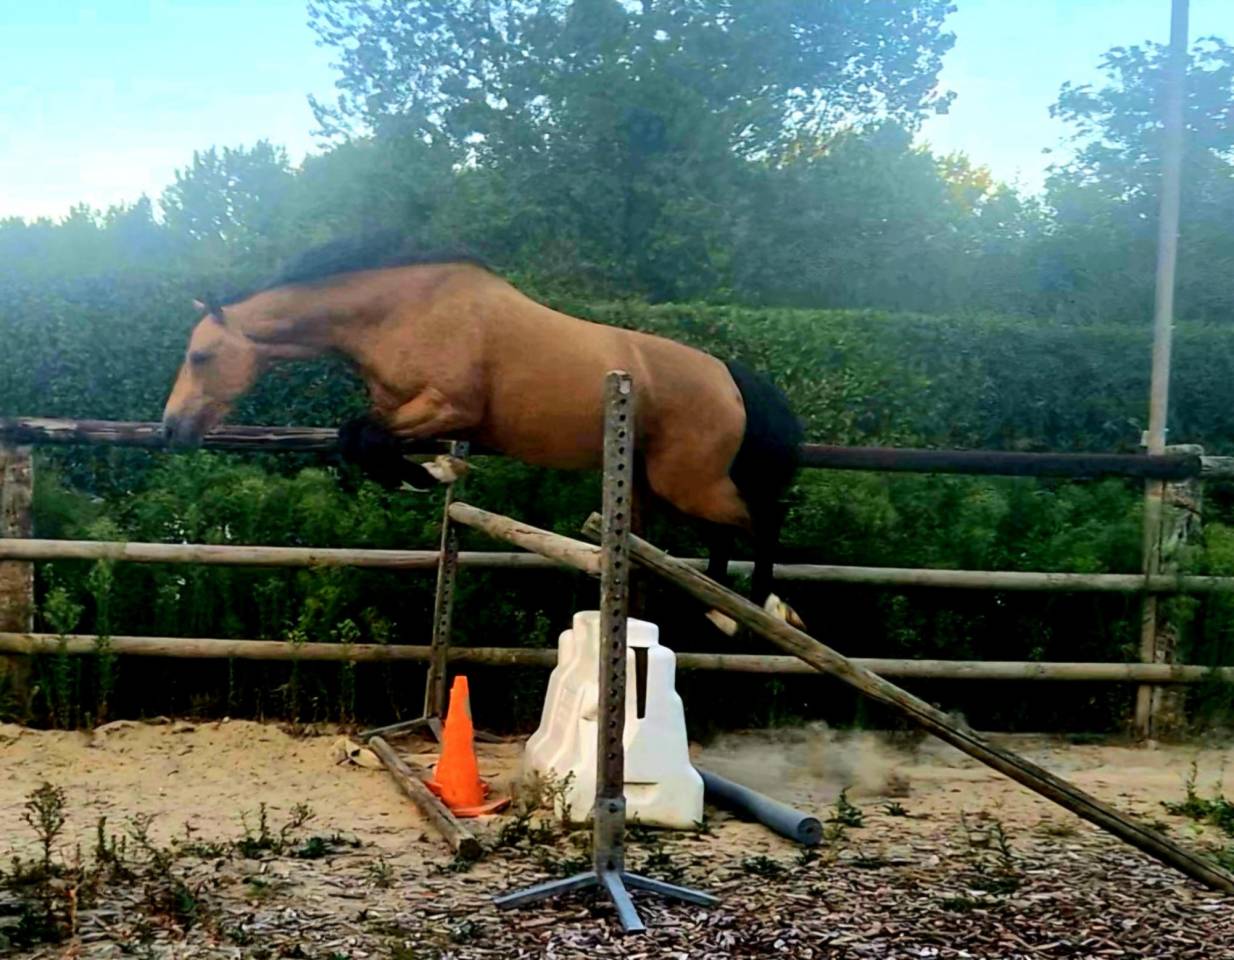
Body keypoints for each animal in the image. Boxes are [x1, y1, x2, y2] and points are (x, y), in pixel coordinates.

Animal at [160, 237, 805, 629]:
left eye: (199, 356)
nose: (172, 430)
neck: (399, 313)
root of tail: (729, 375)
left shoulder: (446, 406)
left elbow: (365, 438)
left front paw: (436, 472)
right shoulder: (413, 414)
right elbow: (361, 441)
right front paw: (435, 473)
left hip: (687, 481)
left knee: (763, 518)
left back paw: (761, 607)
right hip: (660, 484)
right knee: (725, 533)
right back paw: (725, 609)